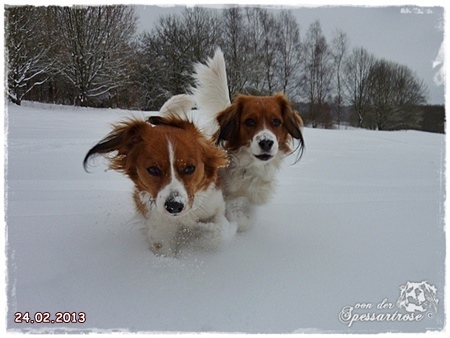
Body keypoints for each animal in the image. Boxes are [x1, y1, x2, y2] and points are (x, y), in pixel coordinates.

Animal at [83, 113, 236, 256]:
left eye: (189, 168)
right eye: (153, 169)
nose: (174, 206)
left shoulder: (215, 207)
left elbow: (217, 233)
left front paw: (198, 232)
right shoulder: (160, 233)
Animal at [161, 48, 302, 231]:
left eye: (277, 122)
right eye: (250, 121)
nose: (266, 142)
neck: (248, 167)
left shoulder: (252, 197)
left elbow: (244, 216)